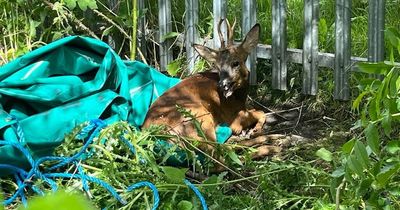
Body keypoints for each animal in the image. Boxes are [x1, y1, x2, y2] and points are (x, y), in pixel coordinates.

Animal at [142, 18, 282, 169]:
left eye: (236, 63)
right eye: (217, 66)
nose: (222, 84)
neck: (239, 97)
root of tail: (162, 135)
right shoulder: (233, 116)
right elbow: (260, 112)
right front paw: (256, 130)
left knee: (223, 150)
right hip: (201, 119)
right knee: (219, 160)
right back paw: (272, 145)